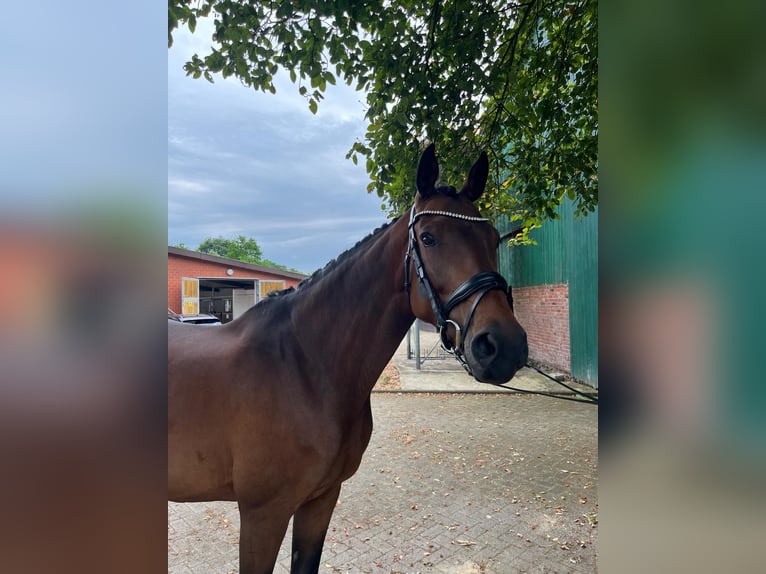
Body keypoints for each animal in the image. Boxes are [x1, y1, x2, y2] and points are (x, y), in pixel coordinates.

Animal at [168, 144, 529, 573]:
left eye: (493, 238)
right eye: (428, 238)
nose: (504, 346)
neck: (304, 368)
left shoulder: (321, 500)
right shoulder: (262, 514)